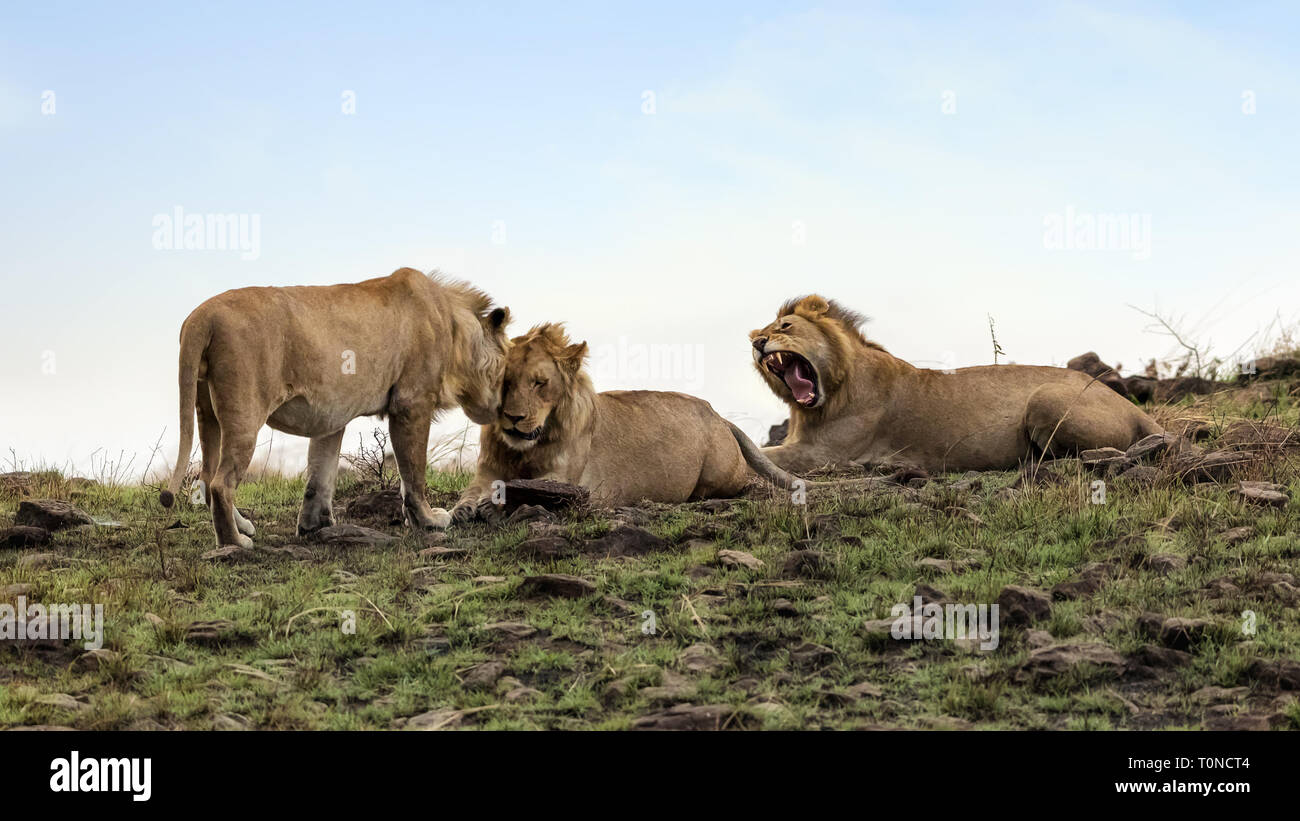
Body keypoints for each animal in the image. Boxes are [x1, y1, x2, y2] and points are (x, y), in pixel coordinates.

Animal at [159, 267, 511, 548]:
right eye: (507, 369)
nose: (504, 411)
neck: (453, 327)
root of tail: (201, 316)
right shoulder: (411, 403)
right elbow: (413, 473)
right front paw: (429, 520)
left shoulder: (331, 417)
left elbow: (321, 473)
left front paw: (314, 525)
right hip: (244, 413)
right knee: (221, 483)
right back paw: (235, 542)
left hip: (207, 413)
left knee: (206, 478)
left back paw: (243, 527)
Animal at [451, 323, 796, 520]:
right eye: (506, 381)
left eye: (539, 383)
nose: (513, 418)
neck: (523, 448)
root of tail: (717, 413)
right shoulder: (486, 471)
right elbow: (468, 493)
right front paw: (462, 509)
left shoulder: (565, 479)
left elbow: (517, 489)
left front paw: (489, 505)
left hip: (718, 475)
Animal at [749, 295, 1162, 474]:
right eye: (759, 332)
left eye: (785, 327)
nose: (757, 343)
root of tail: (1129, 406)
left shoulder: (826, 454)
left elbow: (764, 454)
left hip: (1045, 398)